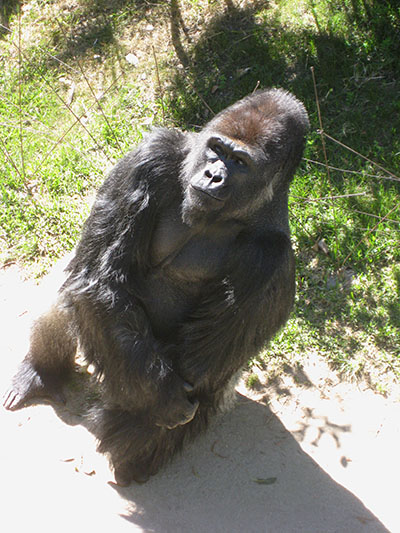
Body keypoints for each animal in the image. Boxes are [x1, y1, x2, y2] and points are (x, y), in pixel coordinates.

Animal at [2, 89, 310, 484]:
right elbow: (98, 277)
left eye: (240, 162)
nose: (213, 175)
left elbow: (197, 366)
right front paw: (162, 401)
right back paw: (40, 372)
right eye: (217, 149)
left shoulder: (270, 259)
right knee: (71, 297)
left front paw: (141, 434)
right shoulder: (151, 156)